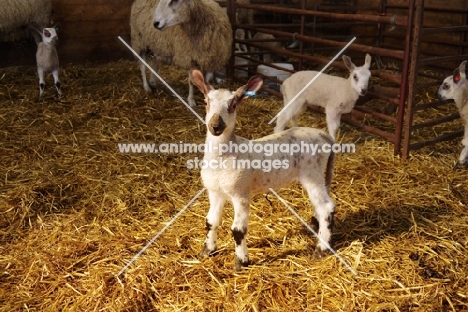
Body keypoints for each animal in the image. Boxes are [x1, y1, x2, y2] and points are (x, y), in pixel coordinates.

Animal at [190, 69, 336, 270]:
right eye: (206, 102)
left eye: (233, 105)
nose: (215, 126)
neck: (224, 156)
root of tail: (324, 136)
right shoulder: (215, 191)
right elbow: (210, 221)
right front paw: (207, 250)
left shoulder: (241, 193)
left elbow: (238, 230)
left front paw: (241, 262)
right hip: (316, 175)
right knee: (322, 205)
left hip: (312, 172)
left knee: (326, 208)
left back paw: (321, 248)